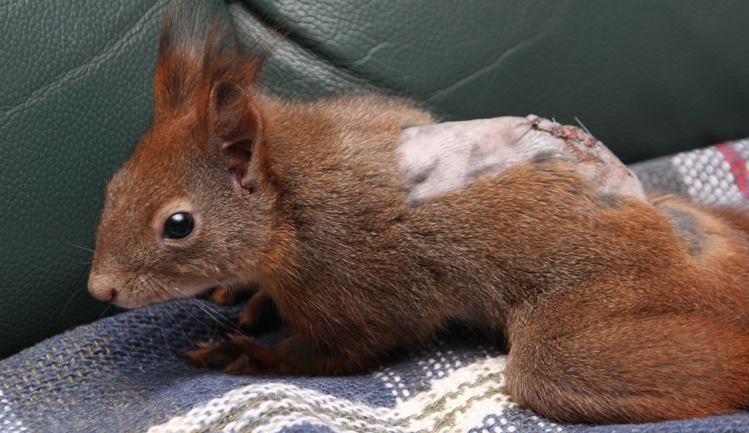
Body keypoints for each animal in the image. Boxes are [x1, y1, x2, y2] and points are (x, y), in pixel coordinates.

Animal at [86, 4, 748, 422]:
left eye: (178, 225)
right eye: (113, 186)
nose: (101, 289)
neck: (292, 204)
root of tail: (665, 236)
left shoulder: (357, 285)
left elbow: (339, 352)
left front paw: (248, 354)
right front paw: (247, 299)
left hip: (581, 339)